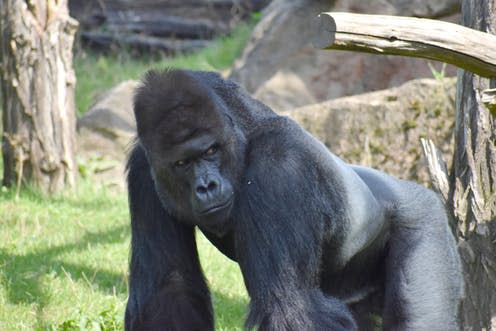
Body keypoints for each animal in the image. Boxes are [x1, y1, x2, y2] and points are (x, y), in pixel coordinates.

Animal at [125, 68, 464, 330]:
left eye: (211, 150)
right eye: (182, 163)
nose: (206, 186)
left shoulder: (280, 163)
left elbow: (290, 305)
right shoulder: (145, 170)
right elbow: (171, 287)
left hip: (425, 222)